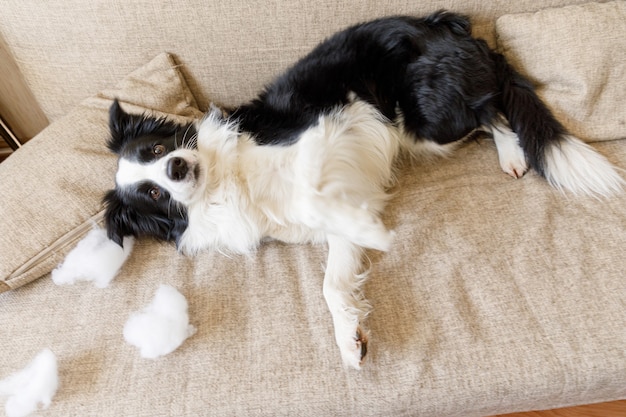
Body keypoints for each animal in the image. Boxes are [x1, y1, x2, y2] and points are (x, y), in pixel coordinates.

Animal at [105, 10, 620, 368]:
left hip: (425, 120)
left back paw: (512, 153)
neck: (224, 178)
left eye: (155, 149)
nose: (176, 166)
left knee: (492, 107)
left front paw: (375, 231)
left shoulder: (320, 129)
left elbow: (313, 194)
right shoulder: (328, 223)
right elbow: (331, 281)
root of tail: (447, 26)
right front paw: (349, 338)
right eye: (151, 194)